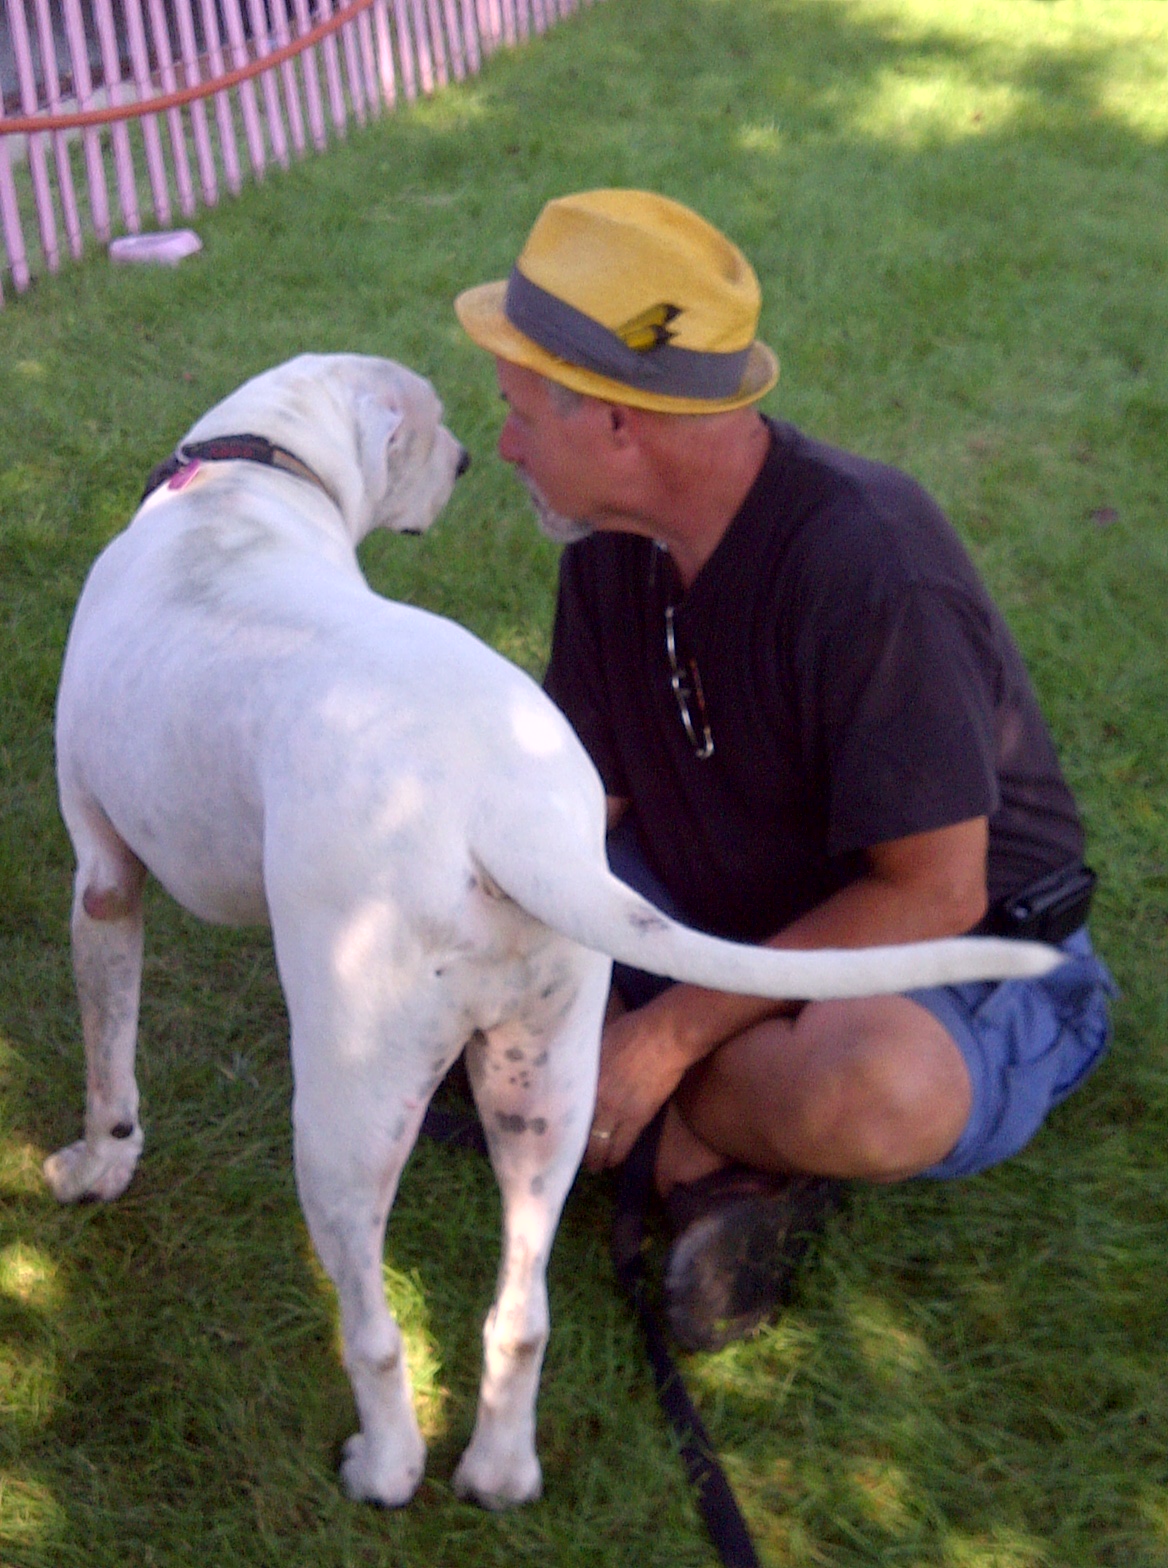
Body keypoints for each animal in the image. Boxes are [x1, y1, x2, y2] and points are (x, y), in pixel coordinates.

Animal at [46, 353, 1061, 1511]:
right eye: (434, 426)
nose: (466, 460)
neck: (244, 479)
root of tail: (504, 808)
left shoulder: (102, 881)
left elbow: (109, 1057)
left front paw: (97, 1165)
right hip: (549, 1086)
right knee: (522, 1314)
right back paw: (499, 1468)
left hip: (350, 1108)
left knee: (375, 1327)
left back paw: (386, 1466)